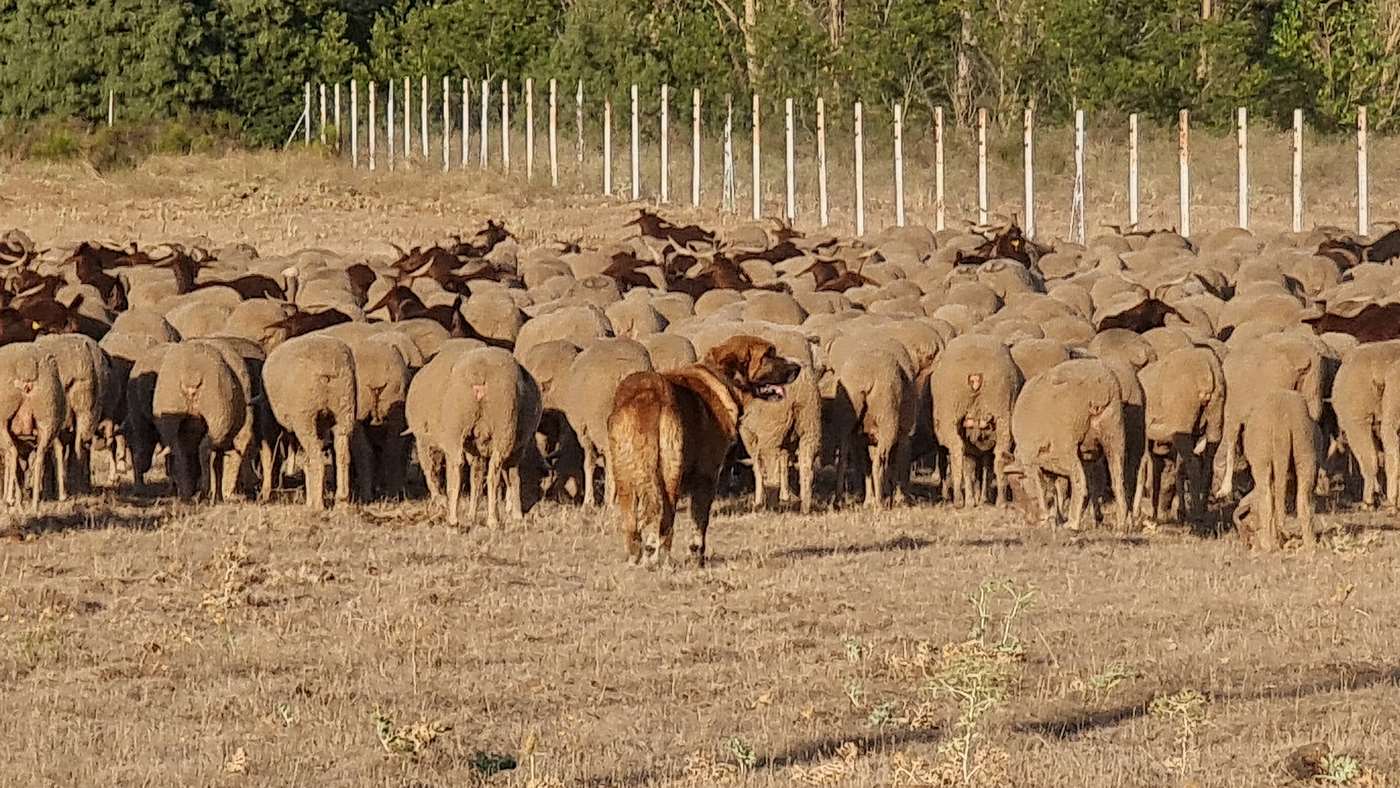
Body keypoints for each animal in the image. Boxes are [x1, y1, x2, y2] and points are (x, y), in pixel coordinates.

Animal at [263, 334, 358, 512]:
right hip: (345, 407)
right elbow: (307, 461)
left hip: (305, 416)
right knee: (342, 454)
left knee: (317, 458)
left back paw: (318, 505)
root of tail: (328, 367)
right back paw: (341, 501)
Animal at [604, 335, 800, 571]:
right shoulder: (706, 477)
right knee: (664, 524)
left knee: (634, 525)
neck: (721, 379)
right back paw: (662, 561)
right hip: (670, 476)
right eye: (768, 355)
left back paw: (637, 559)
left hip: (626, 475)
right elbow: (700, 523)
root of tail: (649, 394)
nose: (798, 367)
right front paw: (697, 558)